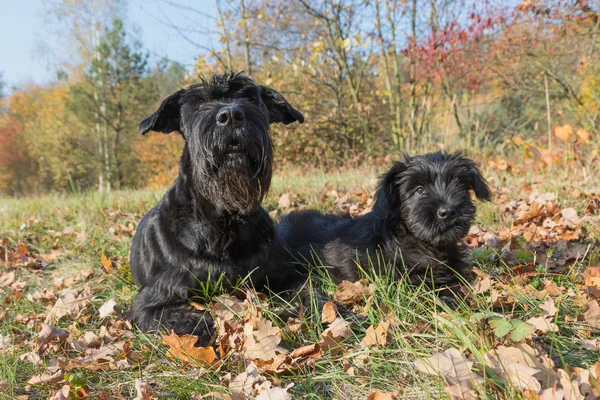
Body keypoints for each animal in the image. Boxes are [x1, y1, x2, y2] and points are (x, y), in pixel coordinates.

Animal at [128, 71, 302, 340]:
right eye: (198, 103)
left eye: (250, 97)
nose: (231, 115)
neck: (225, 221)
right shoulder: (151, 302)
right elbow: (194, 322)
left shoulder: (285, 274)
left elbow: (309, 294)